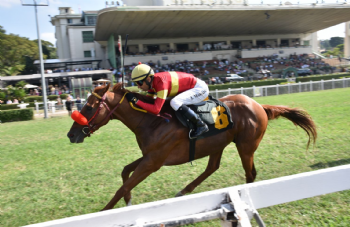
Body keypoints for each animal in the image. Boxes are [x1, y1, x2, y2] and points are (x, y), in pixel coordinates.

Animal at [67, 82, 316, 210]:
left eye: (88, 107)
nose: (71, 134)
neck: (153, 120)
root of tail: (258, 105)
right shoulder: (150, 156)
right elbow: (125, 172)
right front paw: (128, 201)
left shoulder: (153, 161)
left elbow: (123, 185)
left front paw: (105, 211)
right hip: (218, 144)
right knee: (212, 167)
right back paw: (184, 191)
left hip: (246, 146)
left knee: (250, 173)